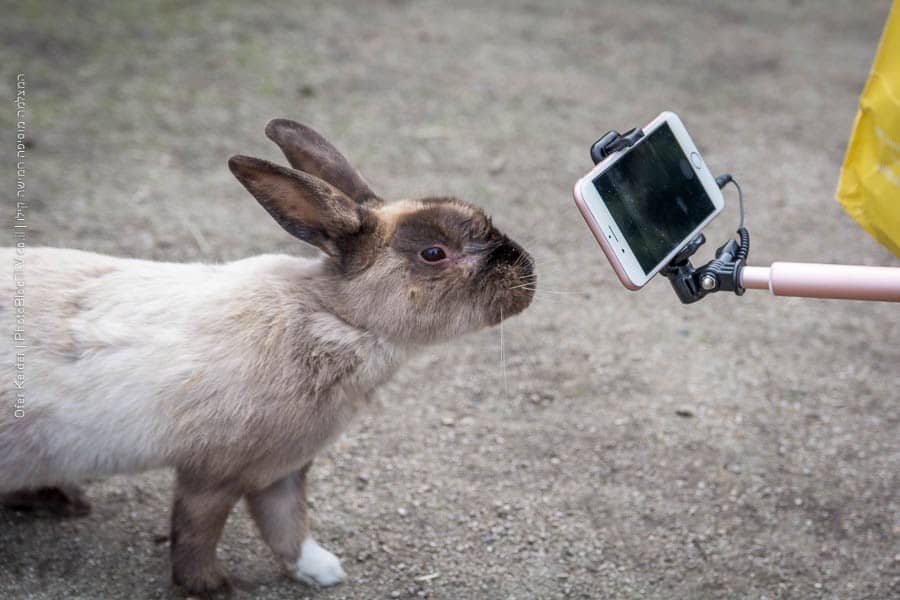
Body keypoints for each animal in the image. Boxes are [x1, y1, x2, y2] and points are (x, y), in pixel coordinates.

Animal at [0, 118, 536, 596]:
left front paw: (321, 571)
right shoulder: (213, 474)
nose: (528, 273)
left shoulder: (281, 470)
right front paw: (213, 588)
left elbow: (287, 526)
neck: (341, 319)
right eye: (433, 253)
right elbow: (197, 533)